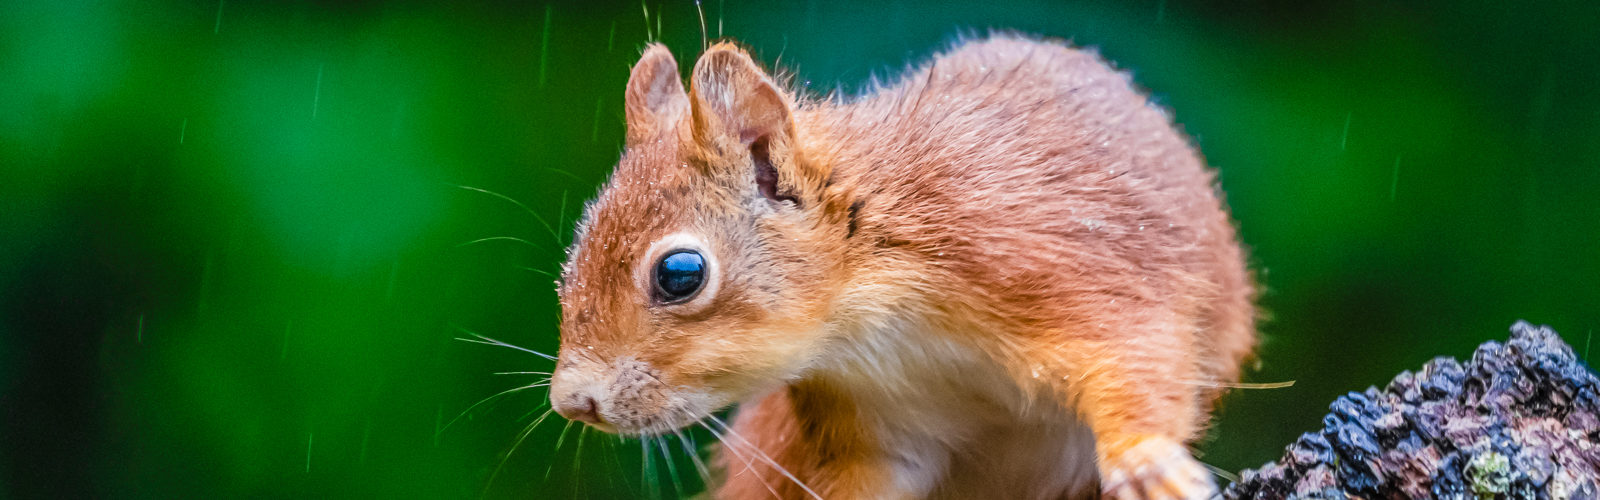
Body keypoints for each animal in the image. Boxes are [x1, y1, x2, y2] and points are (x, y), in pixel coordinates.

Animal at [550, 33, 1260, 496]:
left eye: (679, 275)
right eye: (571, 260)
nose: (572, 402)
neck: (873, 317)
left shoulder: (1063, 267)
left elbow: (1140, 354)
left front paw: (1148, 464)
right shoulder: (870, 422)